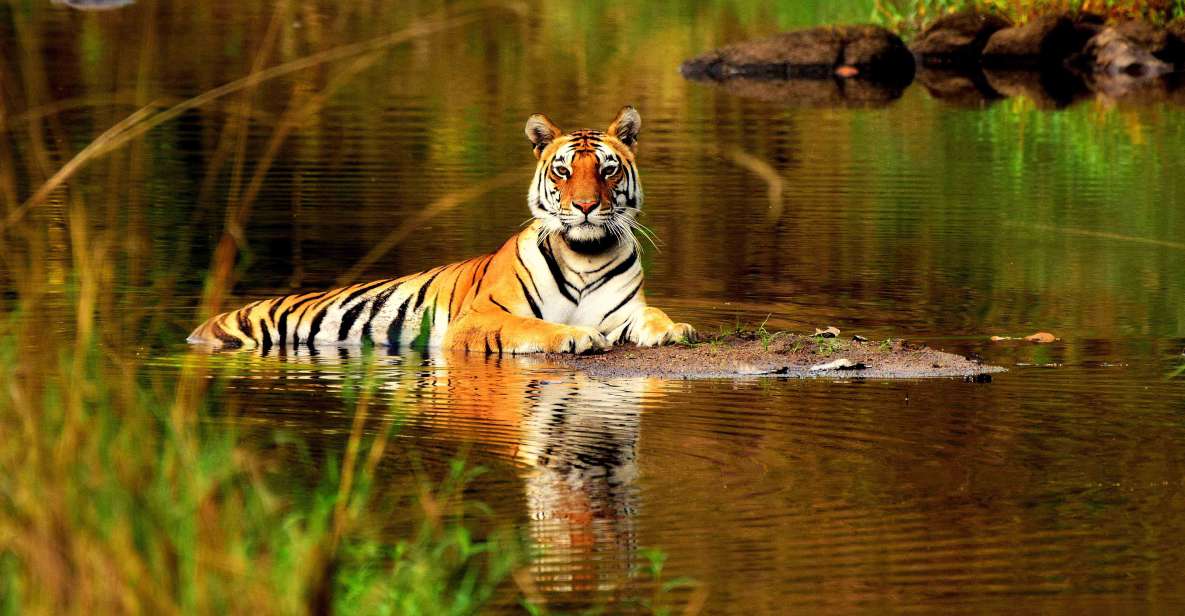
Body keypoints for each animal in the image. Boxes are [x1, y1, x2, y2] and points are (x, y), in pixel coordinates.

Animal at [188, 106, 697, 354]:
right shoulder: (480, 319)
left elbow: (653, 316)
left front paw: (677, 328)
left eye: (608, 170)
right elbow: (532, 326)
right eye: (563, 171)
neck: (585, 254)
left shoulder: (625, 311)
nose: (586, 206)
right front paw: (576, 336)